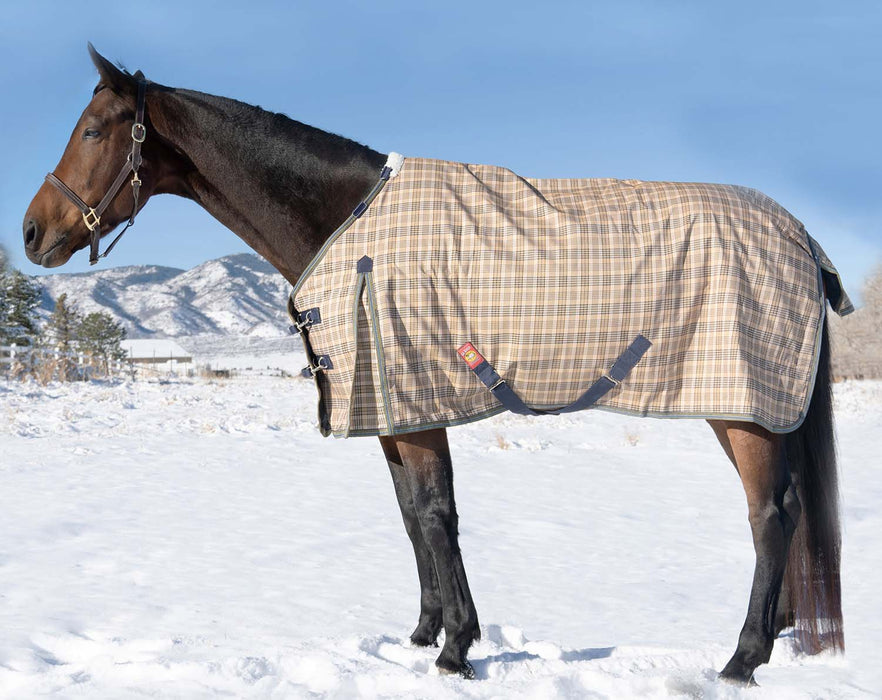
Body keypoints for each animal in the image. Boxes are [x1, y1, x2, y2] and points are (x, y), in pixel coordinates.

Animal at [22, 45, 846, 685]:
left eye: (92, 130)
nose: (31, 233)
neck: (348, 223)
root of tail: (802, 237)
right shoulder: (389, 412)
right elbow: (409, 518)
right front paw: (422, 635)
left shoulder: (419, 410)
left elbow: (435, 514)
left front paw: (457, 649)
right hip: (747, 409)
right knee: (786, 514)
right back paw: (774, 637)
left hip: (744, 408)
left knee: (770, 517)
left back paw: (741, 659)